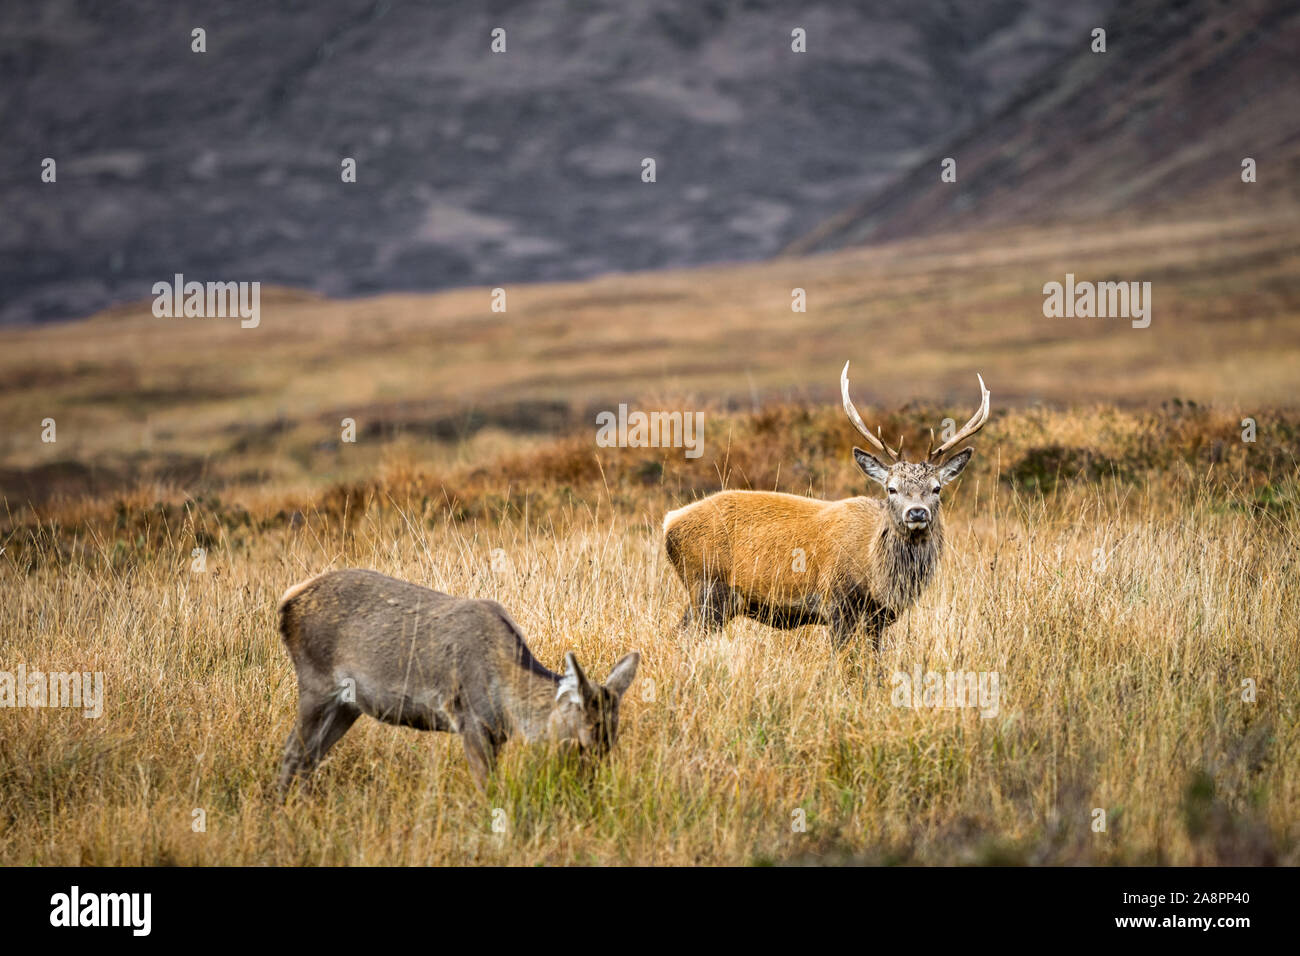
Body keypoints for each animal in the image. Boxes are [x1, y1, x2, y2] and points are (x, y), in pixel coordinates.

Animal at [275, 568, 640, 797]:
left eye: (613, 738)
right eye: (583, 740)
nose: (589, 789)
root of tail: (286, 603)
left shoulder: (496, 733)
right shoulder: (470, 717)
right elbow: (487, 788)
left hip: (348, 705)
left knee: (311, 756)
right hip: (315, 682)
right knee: (294, 751)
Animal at [663, 361, 989, 651]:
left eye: (936, 488)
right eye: (891, 488)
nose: (917, 512)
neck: (876, 573)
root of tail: (670, 522)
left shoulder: (877, 620)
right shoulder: (837, 602)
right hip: (707, 588)